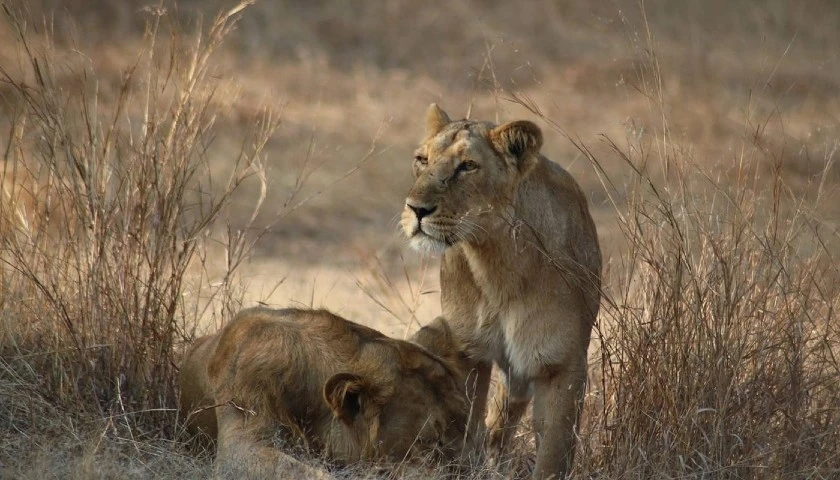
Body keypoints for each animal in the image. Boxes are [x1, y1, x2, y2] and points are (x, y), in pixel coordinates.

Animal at [400, 104, 602, 479]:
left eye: (467, 166)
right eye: (422, 159)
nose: (416, 209)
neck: (496, 265)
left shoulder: (562, 363)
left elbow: (554, 454)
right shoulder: (467, 349)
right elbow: (466, 427)